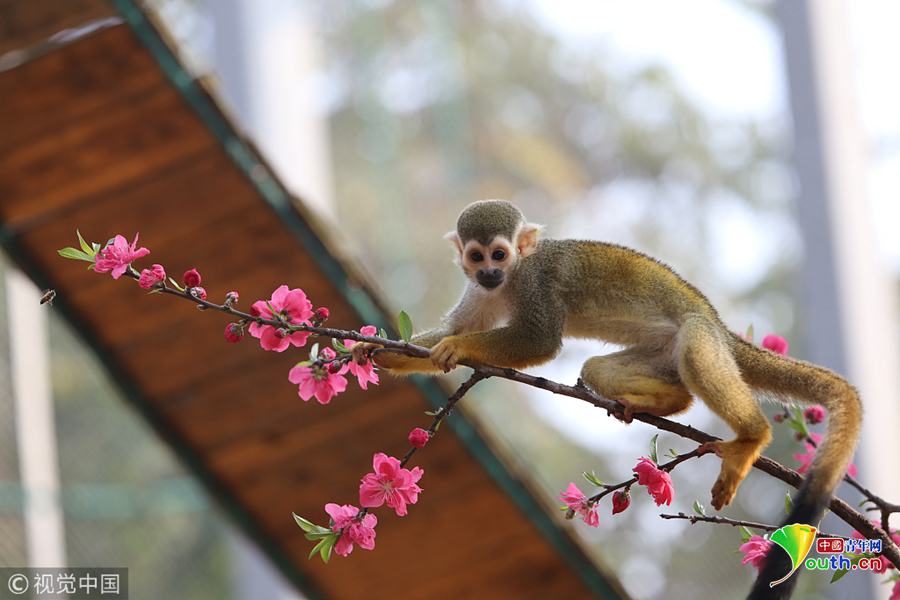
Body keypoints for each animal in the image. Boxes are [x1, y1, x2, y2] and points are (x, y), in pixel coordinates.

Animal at [354, 199, 862, 599]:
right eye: (476, 257)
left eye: (500, 253)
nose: (490, 271)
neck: (514, 277)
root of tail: (722, 327)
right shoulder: (478, 290)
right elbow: (451, 328)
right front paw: (379, 352)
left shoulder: (537, 284)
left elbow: (539, 341)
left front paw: (459, 349)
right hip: (661, 355)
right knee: (600, 369)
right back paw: (667, 404)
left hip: (701, 335)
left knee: (695, 350)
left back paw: (751, 436)